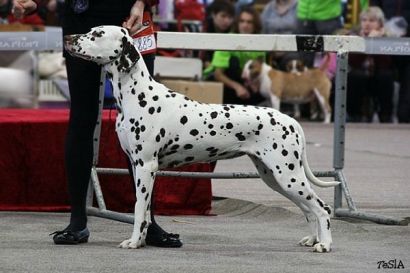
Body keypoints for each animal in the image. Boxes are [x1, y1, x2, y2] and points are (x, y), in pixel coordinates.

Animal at [64, 25, 340, 251]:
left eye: (97, 34)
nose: (68, 38)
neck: (138, 95)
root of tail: (292, 121)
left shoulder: (146, 166)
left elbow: (139, 208)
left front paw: (133, 242)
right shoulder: (135, 165)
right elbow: (146, 210)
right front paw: (141, 240)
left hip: (288, 176)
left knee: (322, 208)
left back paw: (324, 244)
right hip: (275, 178)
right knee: (308, 210)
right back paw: (312, 239)